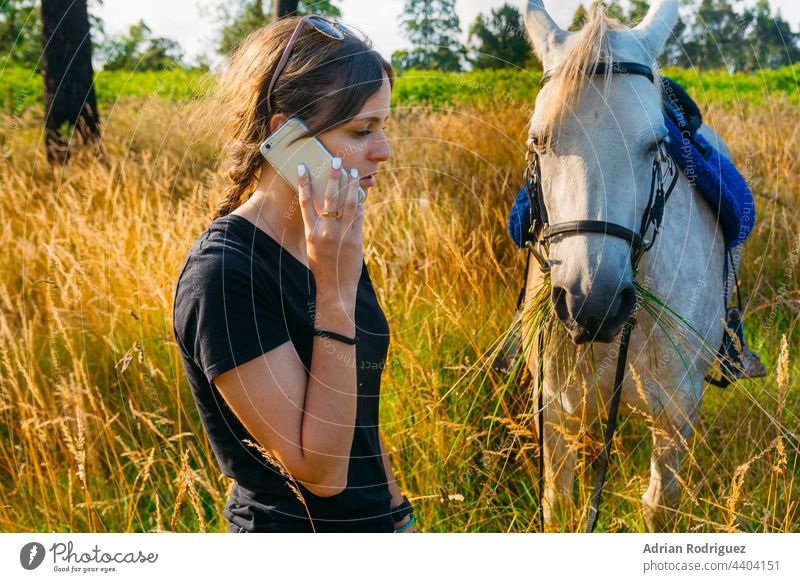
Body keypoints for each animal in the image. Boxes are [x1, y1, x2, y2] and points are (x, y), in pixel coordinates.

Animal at [520, 0, 732, 532]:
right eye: (539, 141)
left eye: (656, 145)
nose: (591, 304)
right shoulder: (554, 406)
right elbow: (558, 501)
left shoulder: (676, 411)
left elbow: (659, 507)